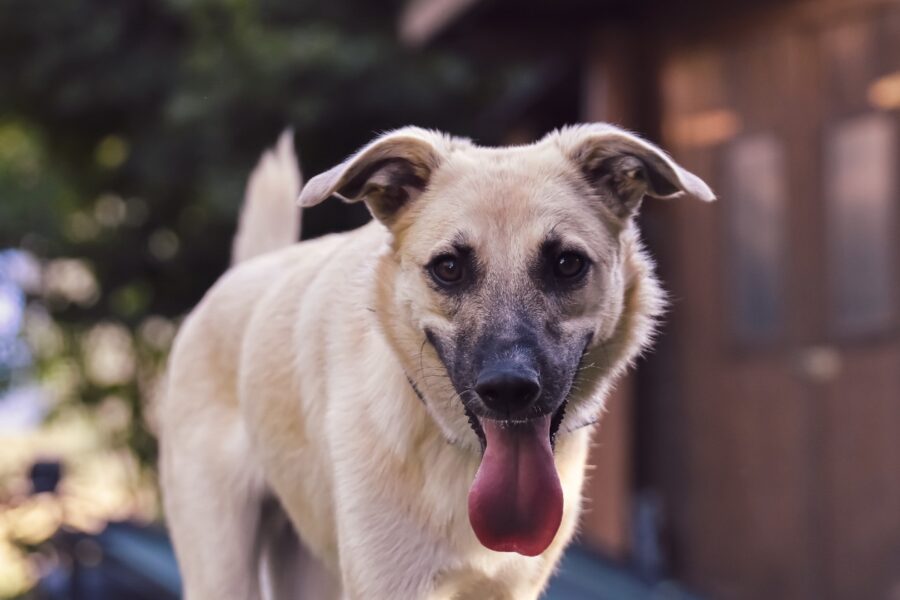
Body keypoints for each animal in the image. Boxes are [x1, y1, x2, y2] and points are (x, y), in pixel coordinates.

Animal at [158, 124, 712, 596]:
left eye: (567, 263)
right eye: (448, 268)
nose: (508, 389)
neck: (462, 459)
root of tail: (247, 272)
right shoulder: (387, 583)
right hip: (221, 566)